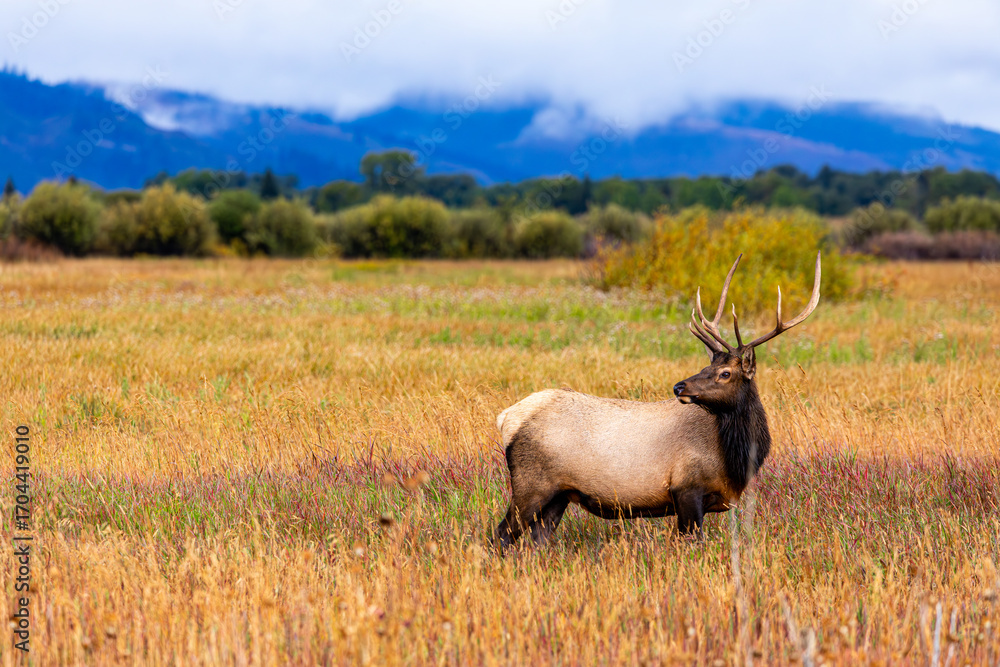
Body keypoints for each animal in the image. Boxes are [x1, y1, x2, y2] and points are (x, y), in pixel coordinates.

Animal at [492, 253, 821, 551]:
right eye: (710, 366)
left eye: (724, 372)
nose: (679, 386)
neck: (735, 461)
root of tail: (506, 418)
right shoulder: (686, 489)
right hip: (531, 485)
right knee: (500, 535)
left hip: (558, 496)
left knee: (537, 542)